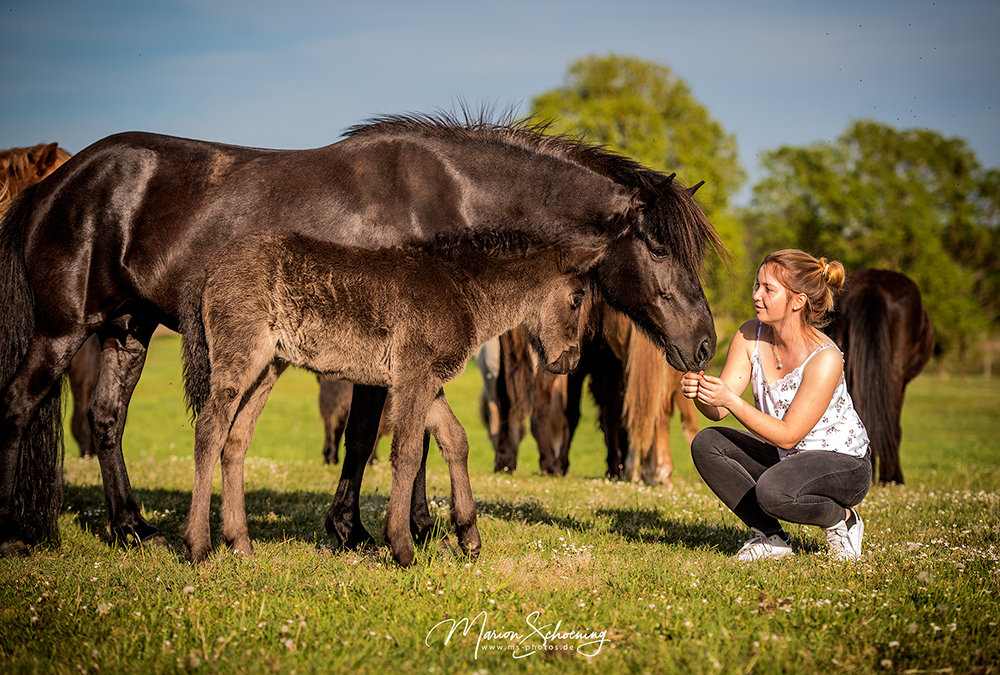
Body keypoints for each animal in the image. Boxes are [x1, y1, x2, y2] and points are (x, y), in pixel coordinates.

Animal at [0, 112, 720, 556]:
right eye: (659, 246)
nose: (706, 343)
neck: (445, 198)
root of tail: (55, 184)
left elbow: (411, 438)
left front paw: (418, 527)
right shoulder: (386, 359)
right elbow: (374, 439)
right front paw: (362, 532)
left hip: (126, 329)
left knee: (105, 419)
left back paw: (132, 528)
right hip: (63, 332)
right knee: (17, 408)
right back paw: (14, 533)